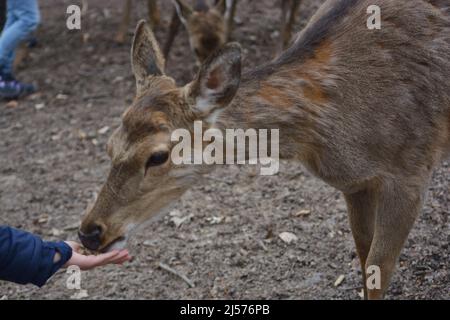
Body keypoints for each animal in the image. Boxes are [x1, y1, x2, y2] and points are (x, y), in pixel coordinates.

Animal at [78, 0, 450, 300]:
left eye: (157, 156)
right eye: (109, 145)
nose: (89, 233)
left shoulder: (411, 171)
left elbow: (378, 269)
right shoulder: (355, 184)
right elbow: (363, 255)